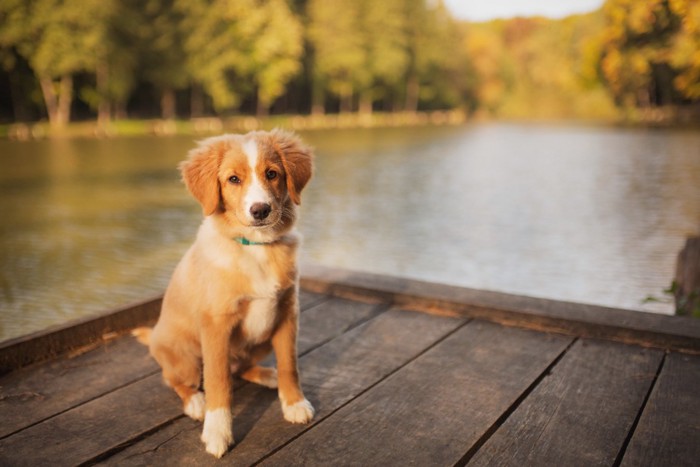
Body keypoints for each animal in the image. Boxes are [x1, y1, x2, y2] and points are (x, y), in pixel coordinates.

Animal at [135, 130, 314, 458]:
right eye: (233, 179)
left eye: (272, 174)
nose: (260, 210)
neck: (256, 248)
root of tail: (154, 337)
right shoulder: (216, 325)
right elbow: (218, 382)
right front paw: (217, 433)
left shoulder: (287, 312)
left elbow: (289, 364)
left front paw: (294, 403)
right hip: (185, 357)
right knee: (177, 380)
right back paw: (196, 402)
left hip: (261, 341)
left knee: (240, 369)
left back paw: (267, 376)